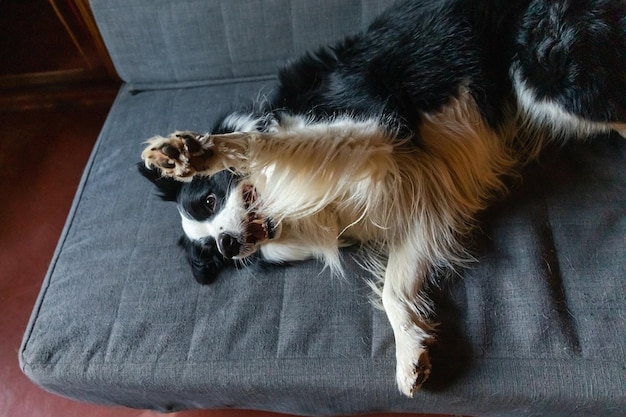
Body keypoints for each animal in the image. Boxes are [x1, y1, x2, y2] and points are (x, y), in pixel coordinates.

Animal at [139, 0, 620, 396]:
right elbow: (392, 289)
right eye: (212, 255)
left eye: (208, 200)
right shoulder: (422, 203)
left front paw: (196, 152)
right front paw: (410, 353)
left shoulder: (378, 129)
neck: (297, 209)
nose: (227, 245)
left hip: (548, 74)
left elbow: (274, 143)